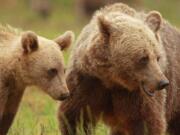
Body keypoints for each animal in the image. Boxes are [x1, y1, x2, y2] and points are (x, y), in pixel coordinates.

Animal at [58, 2, 180, 135]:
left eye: (158, 57)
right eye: (144, 58)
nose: (163, 82)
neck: (112, 78)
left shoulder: (136, 96)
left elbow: (145, 122)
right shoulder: (86, 81)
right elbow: (76, 116)